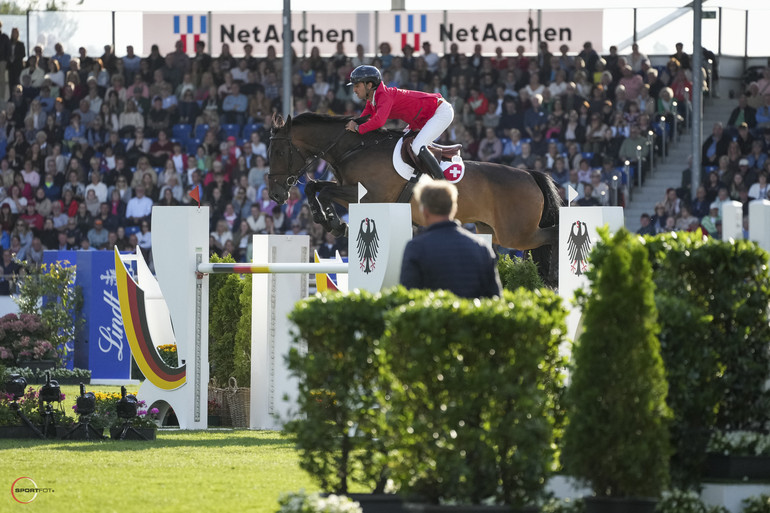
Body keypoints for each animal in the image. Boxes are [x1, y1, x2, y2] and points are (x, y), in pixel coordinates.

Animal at [268, 112, 560, 280]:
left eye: (279, 152)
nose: (275, 194)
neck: (355, 148)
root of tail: (530, 175)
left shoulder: (370, 196)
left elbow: (324, 189)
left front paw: (335, 223)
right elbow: (315, 187)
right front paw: (330, 221)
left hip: (516, 233)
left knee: (553, 234)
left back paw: (555, 275)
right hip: (493, 231)